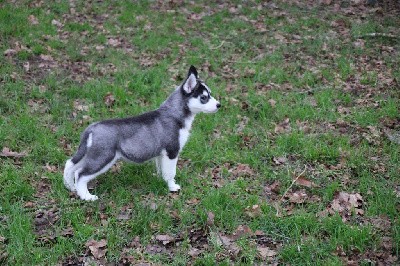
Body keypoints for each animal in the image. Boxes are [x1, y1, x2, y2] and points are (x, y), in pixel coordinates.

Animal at [63, 65, 220, 201]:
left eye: (210, 94)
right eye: (204, 98)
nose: (219, 105)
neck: (174, 114)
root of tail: (92, 128)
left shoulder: (161, 154)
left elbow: (162, 171)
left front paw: (160, 180)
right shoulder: (172, 151)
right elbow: (170, 173)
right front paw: (172, 187)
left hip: (89, 154)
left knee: (70, 164)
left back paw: (70, 187)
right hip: (102, 157)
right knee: (80, 174)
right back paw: (86, 196)